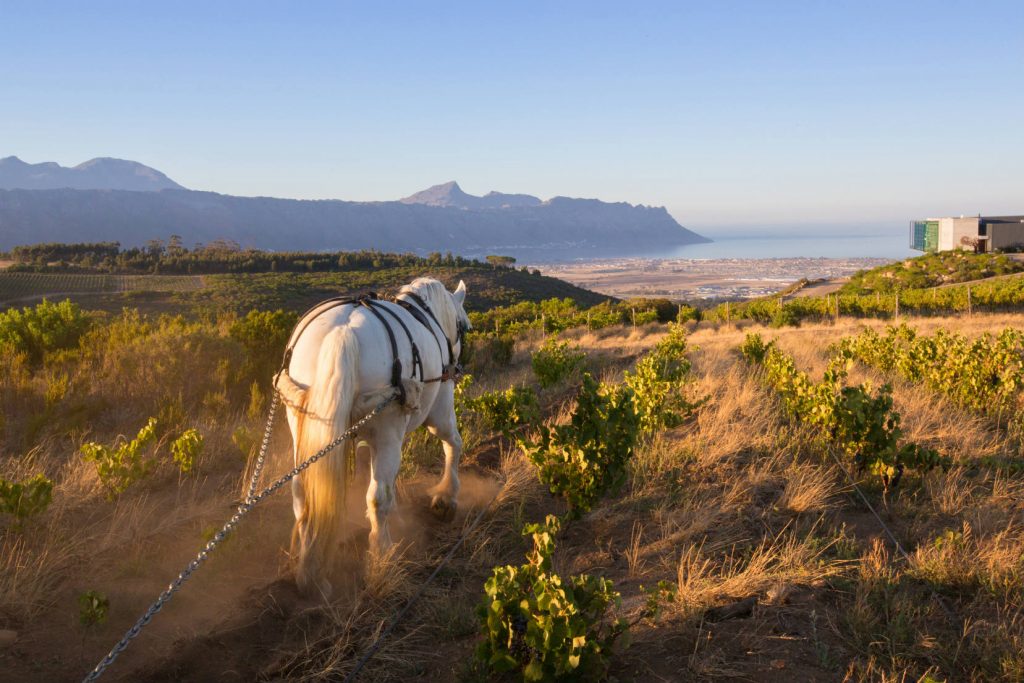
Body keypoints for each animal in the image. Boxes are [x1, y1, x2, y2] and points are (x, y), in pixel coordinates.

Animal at [276, 276, 475, 593]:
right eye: (465, 327)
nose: (457, 368)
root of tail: (343, 332)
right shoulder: (438, 409)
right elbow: (453, 444)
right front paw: (446, 496)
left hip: (302, 424)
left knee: (301, 493)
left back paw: (309, 565)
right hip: (389, 430)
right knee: (378, 495)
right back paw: (383, 552)